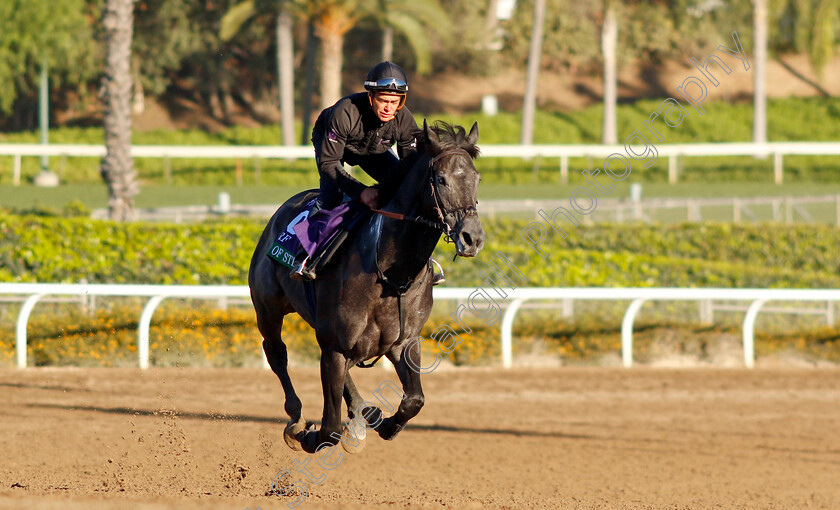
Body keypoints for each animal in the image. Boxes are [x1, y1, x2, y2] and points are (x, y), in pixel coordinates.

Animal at [248, 120, 486, 454]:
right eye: (441, 179)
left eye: (476, 178)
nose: (472, 238)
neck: (390, 273)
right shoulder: (335, 343)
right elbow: (329, 429)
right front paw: (309, 433)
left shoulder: (404, 341)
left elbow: (414, 400)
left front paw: (382, 421)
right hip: (268, 309)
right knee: (276, 354)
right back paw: (296, 417)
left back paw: (364, 412)